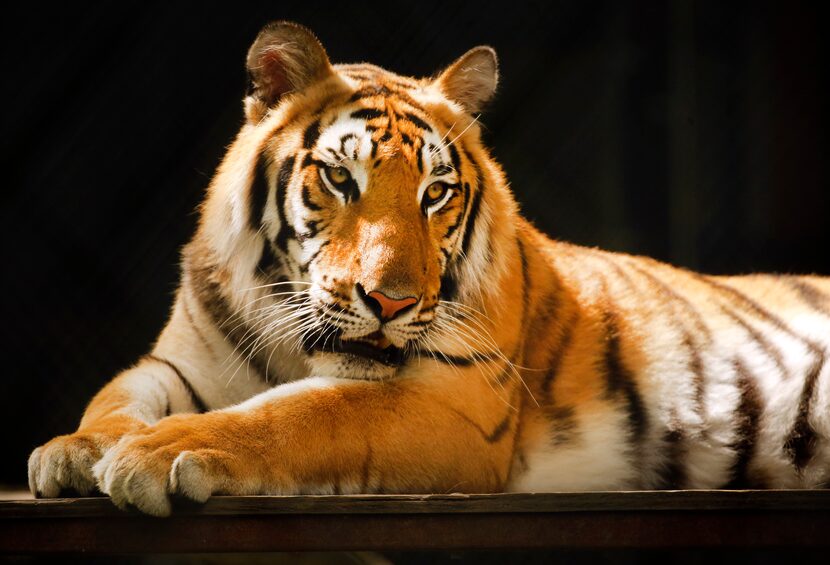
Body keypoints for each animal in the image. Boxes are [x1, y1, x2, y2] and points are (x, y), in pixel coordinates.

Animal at [27, 22, 830, 516]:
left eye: (435, 193)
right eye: (340, 179)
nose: (389, 301)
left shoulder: (452, 399)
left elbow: (303, 412)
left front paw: (162, 451)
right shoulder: (182, 360)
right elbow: (114, 395)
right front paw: (72, 453)